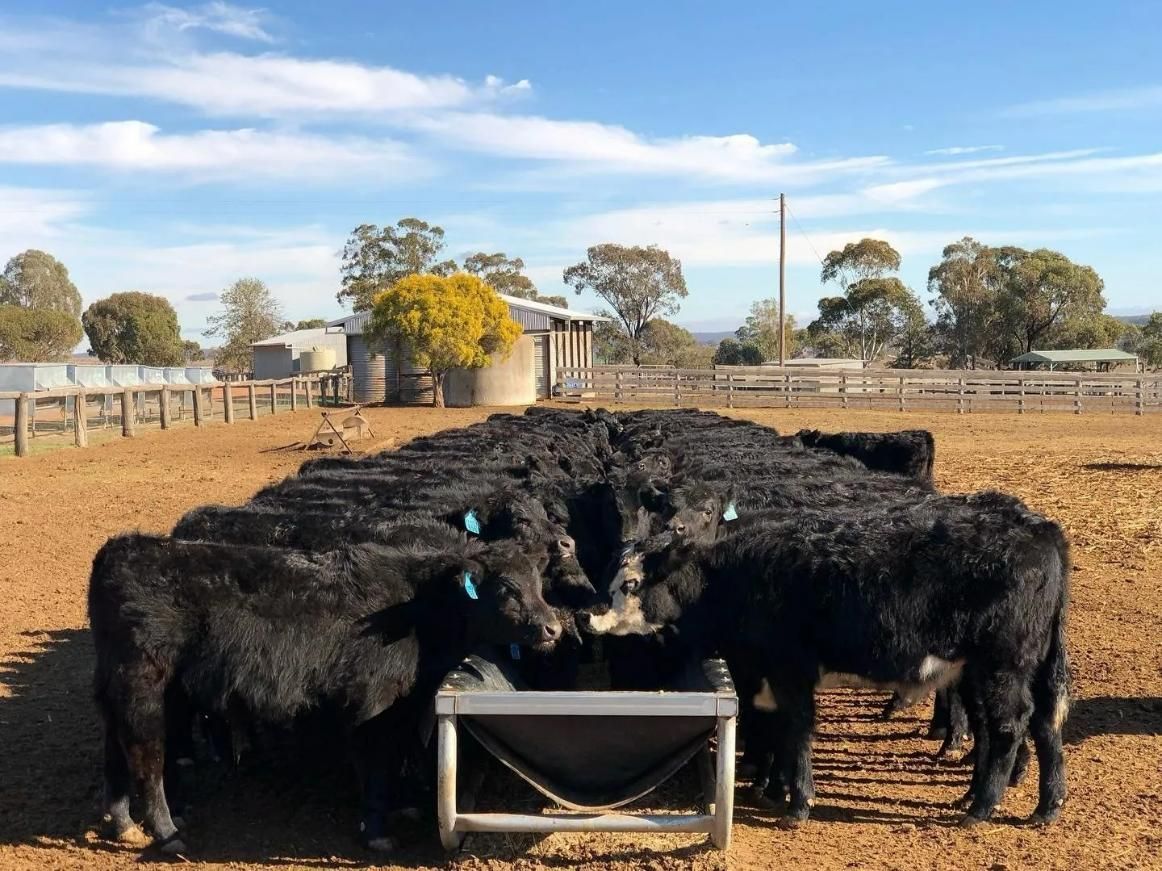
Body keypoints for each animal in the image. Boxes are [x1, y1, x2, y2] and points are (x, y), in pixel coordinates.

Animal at [89, 533, 562, 854]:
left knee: (115, 754)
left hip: (126, 696)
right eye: (506, 588)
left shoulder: (396, 712)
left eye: (538, 582)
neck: (416, 608)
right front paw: (377, 832)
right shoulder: (371, 707)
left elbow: (390, 762)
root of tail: (121, 548)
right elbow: (376, 768)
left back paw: (123, 823)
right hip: (146, 692)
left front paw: (399, 808)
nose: (552, 628)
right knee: (146, 759)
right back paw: (167, 832)